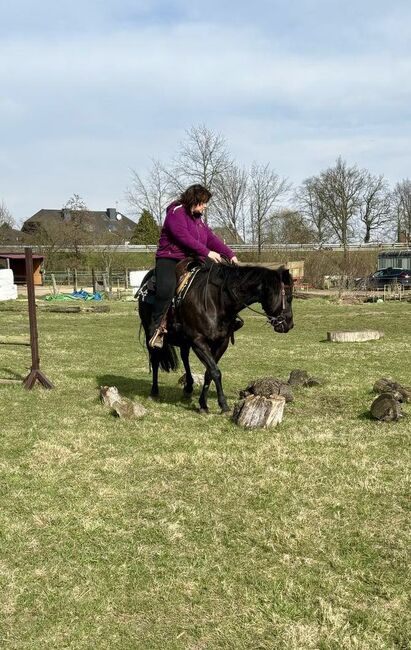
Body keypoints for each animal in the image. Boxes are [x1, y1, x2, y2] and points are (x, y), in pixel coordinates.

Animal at [140, 262, 294, 410]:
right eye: (289, 298)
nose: (290, 325)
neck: (216, 302)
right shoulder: (199, 342)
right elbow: (215, 371)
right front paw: (223, 404)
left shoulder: (221, 343)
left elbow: (209, 372)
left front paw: (203, 403)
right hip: (150, 335)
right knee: (155, 360)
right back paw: (154, 392)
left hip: (184, 341)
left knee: (184, 357)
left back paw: (188, 387)